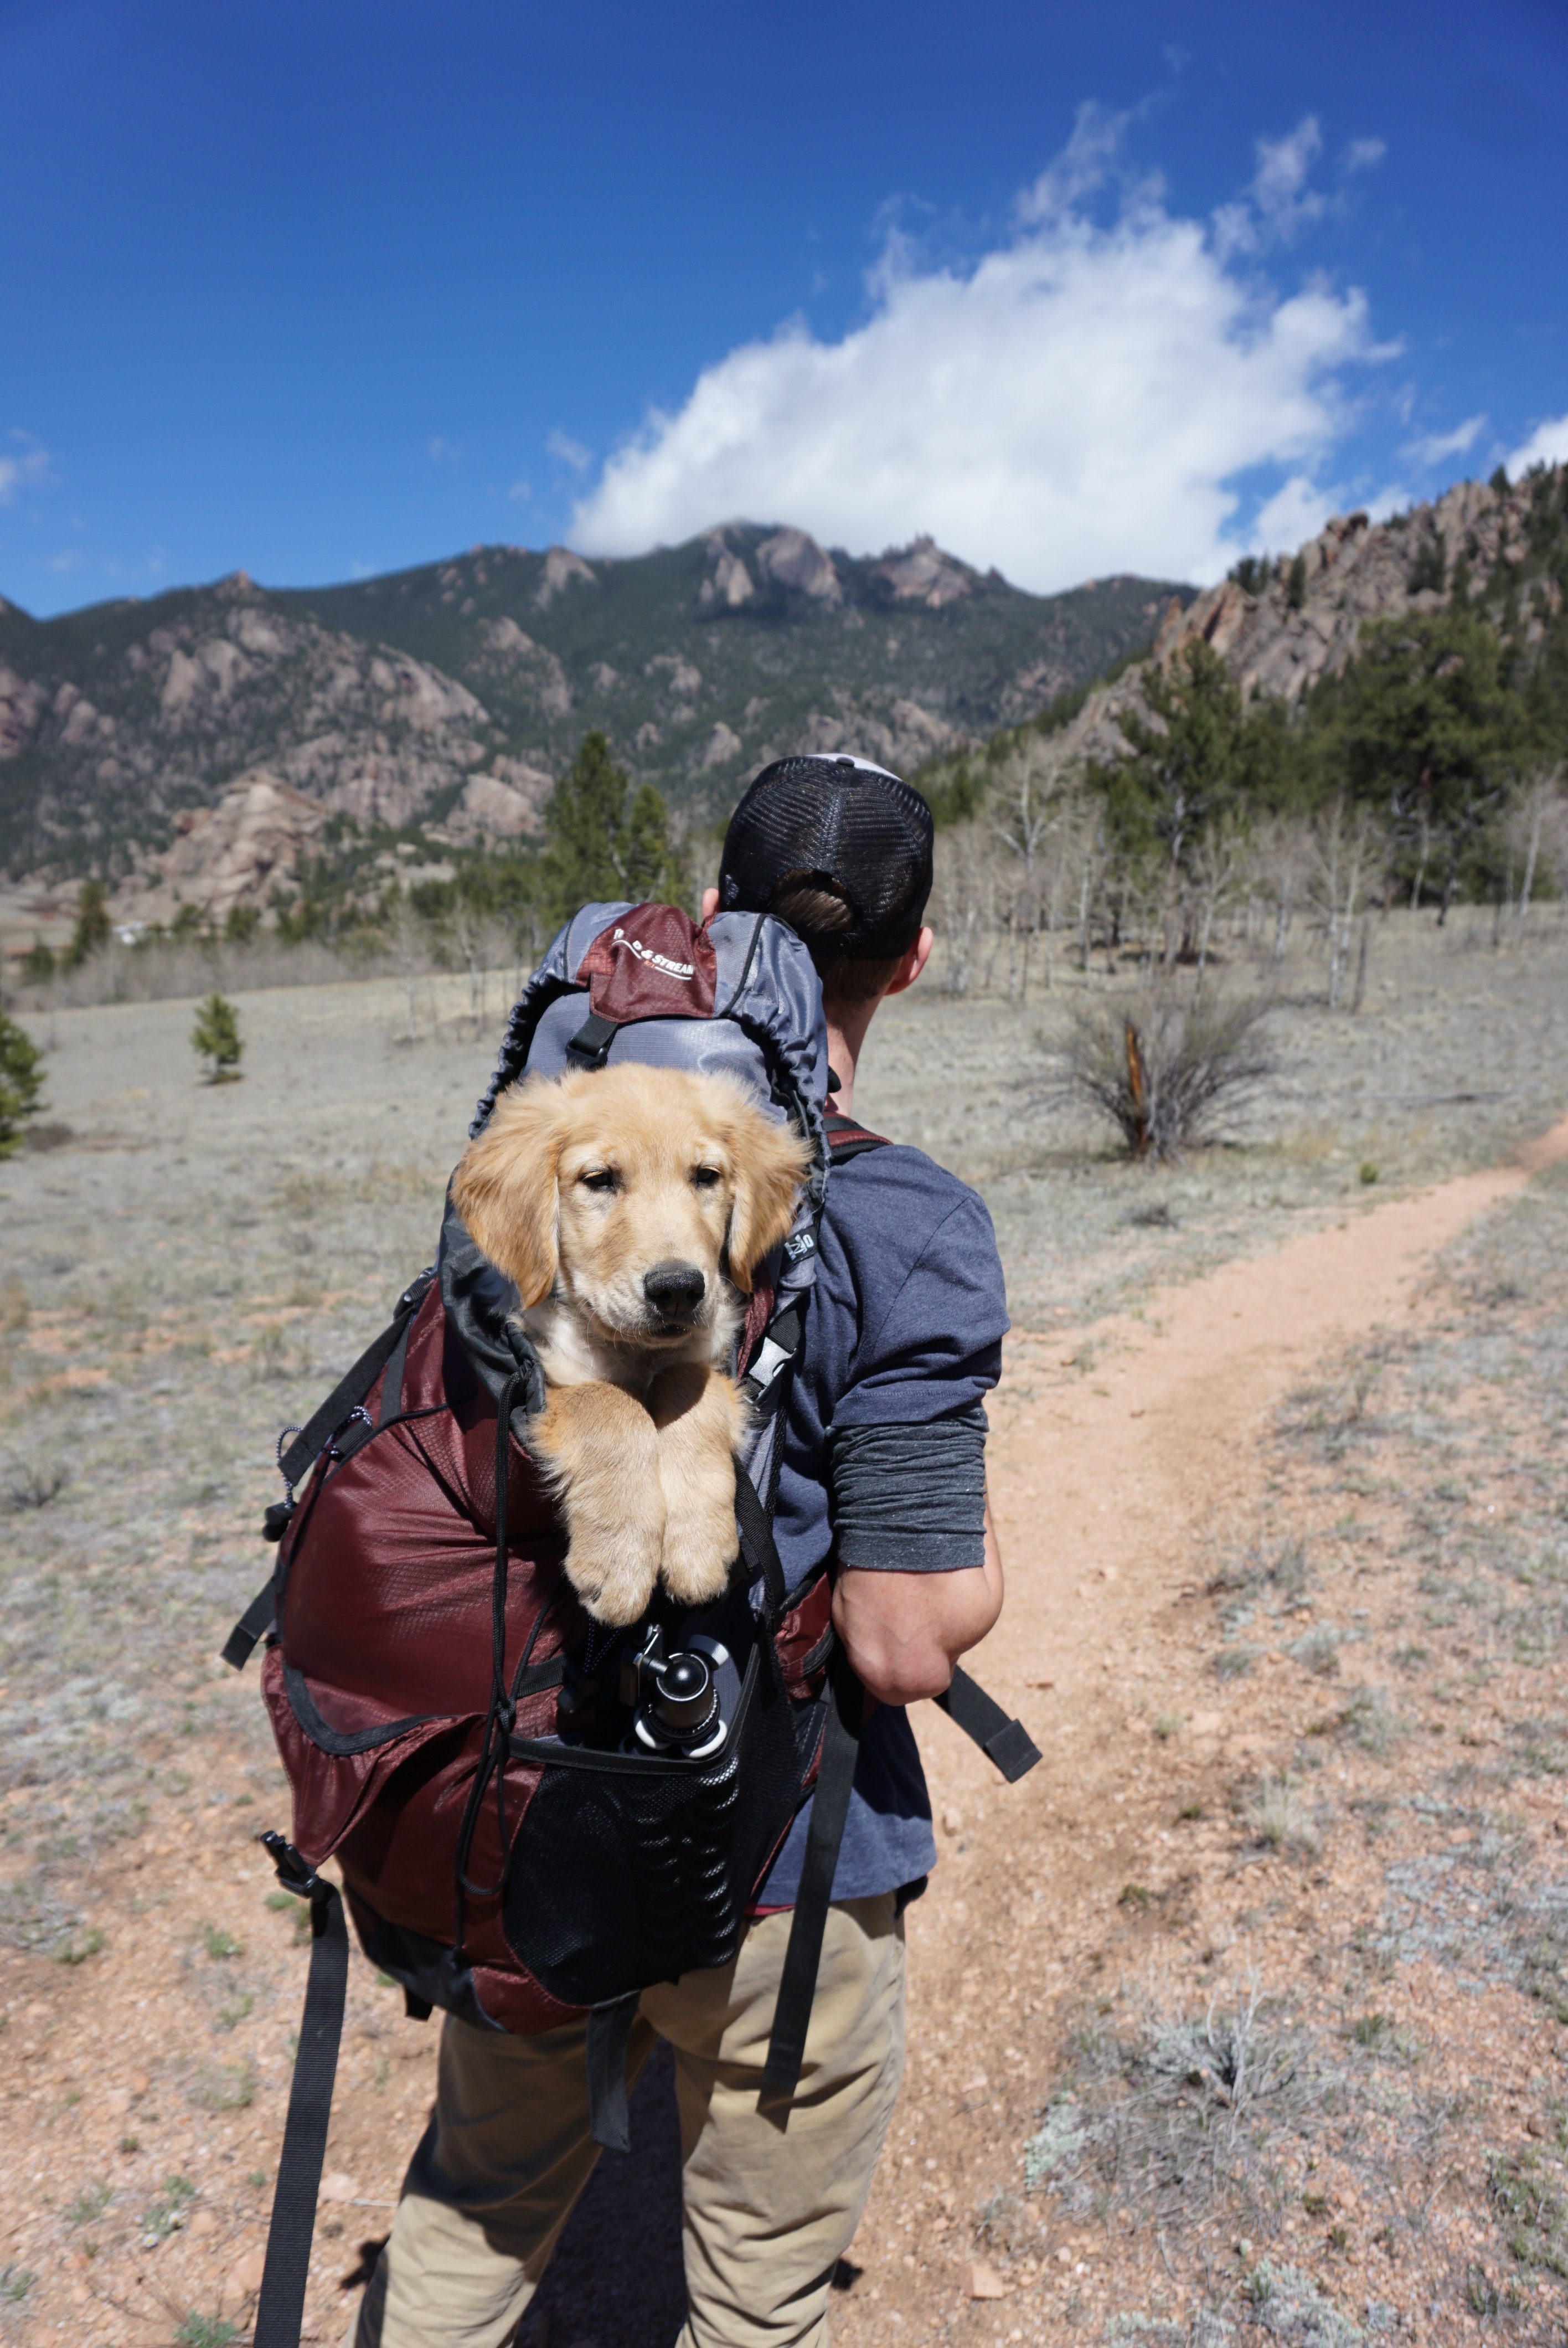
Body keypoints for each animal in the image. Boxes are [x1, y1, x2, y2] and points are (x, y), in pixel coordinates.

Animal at [446, 1070, 802, 1634]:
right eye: (599, 1180)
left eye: (706, 1176)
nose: (678, 1289)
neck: (635, 1353)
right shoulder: (544, 1376)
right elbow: (610, 1405)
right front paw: (619, 1559)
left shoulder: (710, 1357)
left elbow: (688, 1388)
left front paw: (697, 1543)